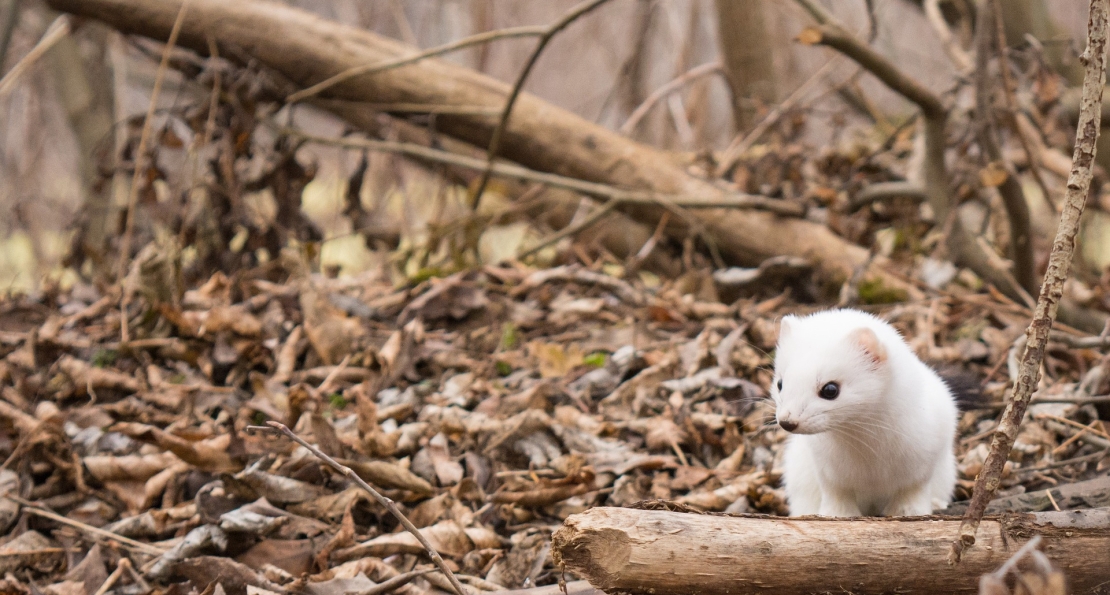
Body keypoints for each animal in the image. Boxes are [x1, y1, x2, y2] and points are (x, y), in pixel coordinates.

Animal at [768, 308, 959, 517]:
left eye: (830, 389)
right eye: (780, 383)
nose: (787, 421)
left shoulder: (927, 451)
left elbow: (913, 488)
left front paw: (907, 511)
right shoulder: (826, 467)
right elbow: (836, 492)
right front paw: (837, 514)